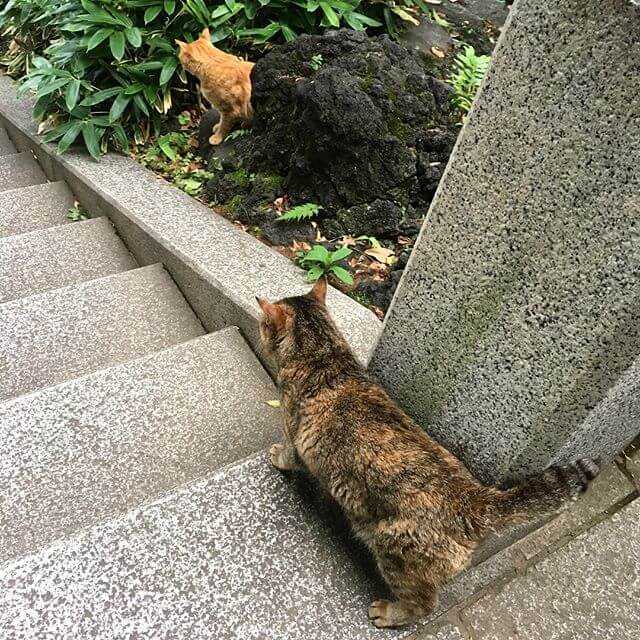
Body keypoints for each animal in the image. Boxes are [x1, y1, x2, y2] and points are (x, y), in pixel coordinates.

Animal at [256, 278, 600, 628]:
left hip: (394, 550)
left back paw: (389, 612)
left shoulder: (296, 441)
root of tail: (477, 500)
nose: (259, 328)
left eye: (262, 324)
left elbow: (287, 455)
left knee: (424, 604)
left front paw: (276, 456)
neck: (325, 357)